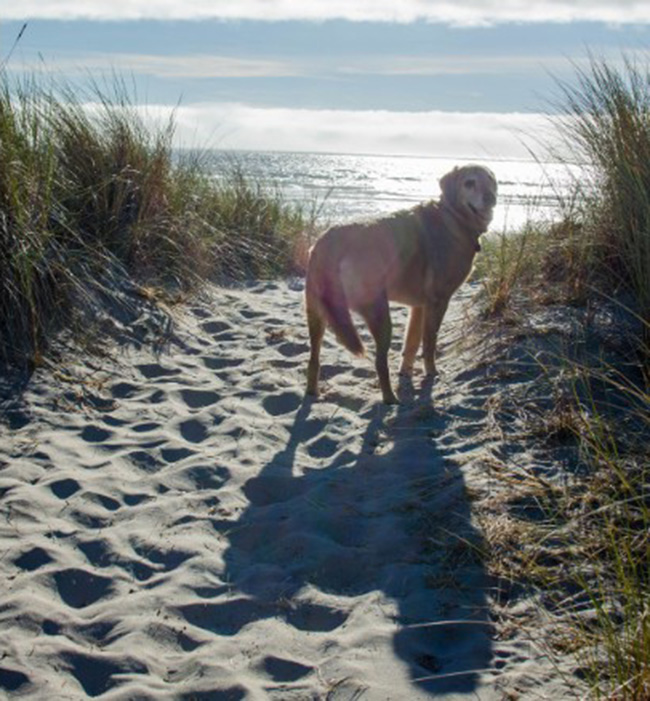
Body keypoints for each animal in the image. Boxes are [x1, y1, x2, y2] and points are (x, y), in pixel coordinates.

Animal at [304, 164, 496, 402]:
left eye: (491, 180)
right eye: (469, 183)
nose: (491, 197)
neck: (452, 218)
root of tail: (328, 241)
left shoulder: (419, 306)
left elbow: (411, 344)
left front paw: (406, 373)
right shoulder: (438, 302)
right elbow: (429, 342)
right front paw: (431, 373)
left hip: (316, 313)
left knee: (313, 359)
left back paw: (313, 392)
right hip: (379, 314)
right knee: (380, 363)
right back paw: (390, 399)